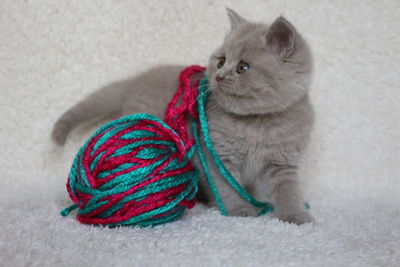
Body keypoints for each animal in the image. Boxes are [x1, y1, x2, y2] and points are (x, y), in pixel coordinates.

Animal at [53, 8, 314, 226]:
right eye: (221, 61)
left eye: (243, 68)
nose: (219, 76)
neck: (256, 124)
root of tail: (137, 80)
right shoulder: (216, 157)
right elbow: (227, 186)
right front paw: (240, 210)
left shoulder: (282, 161)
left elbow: (288, 189)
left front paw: (295, 216)